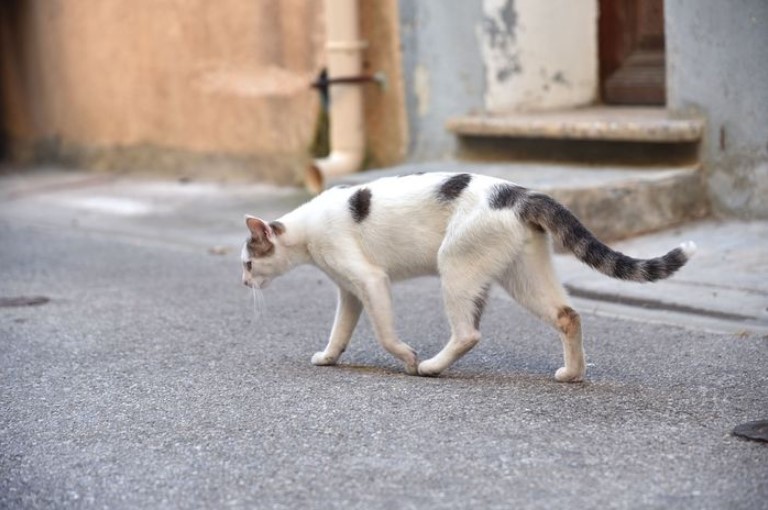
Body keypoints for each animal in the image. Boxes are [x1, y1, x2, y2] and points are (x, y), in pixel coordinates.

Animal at [242, 172, 696, 382]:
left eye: (246, 263)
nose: (243, 284)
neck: (306, 231)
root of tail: (521, 193)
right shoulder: (350, 292)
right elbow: (340, 330)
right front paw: (329, 357)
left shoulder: (370, 280)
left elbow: (386, 334)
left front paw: (408, 358)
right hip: (523, 275)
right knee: (569, 315)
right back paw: (573, 374)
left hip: (456, 265)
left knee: (468, 333)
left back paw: (431, 367)